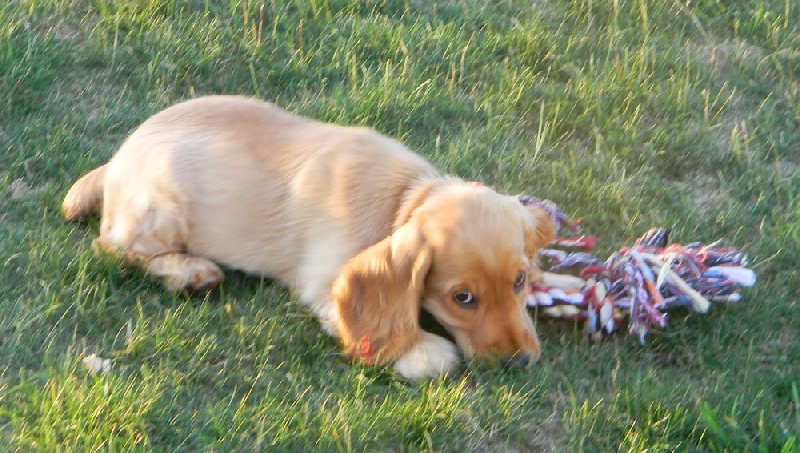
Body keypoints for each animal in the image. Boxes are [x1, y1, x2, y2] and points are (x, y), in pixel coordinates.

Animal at [62, 94, 552, 378]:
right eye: (462, 298)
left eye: (519, 281)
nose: (520, 362)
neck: (403, 196)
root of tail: (118, 159)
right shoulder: (324, 283)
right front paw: (423, 351)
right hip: (160, 207)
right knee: (116, 248)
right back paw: (189, 272)